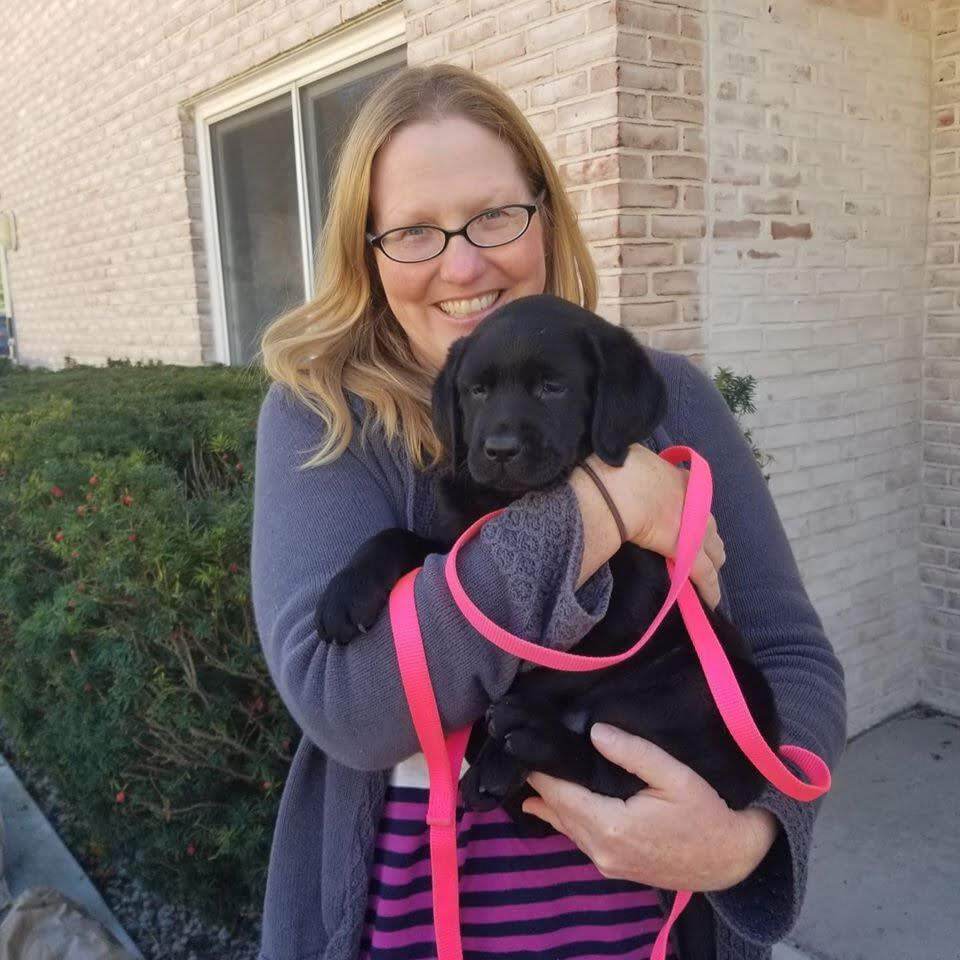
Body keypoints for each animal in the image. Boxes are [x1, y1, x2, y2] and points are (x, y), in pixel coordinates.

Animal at [316, 294, 780, 840]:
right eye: (476, 391)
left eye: (552, 388)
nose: (498, 450)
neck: (510, 501)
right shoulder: (454, 552)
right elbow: (398, 538)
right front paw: (346, 595)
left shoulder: (631, 617)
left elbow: (554, 672)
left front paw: (506, 724)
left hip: (698, 688)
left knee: (616, 773)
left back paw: (520, 749)